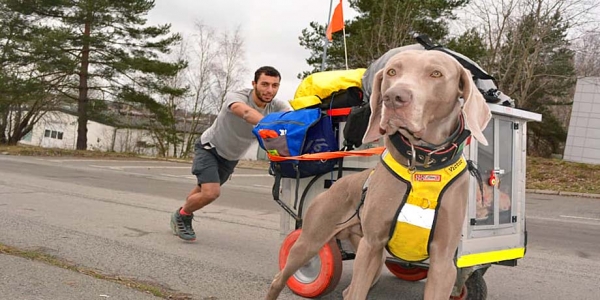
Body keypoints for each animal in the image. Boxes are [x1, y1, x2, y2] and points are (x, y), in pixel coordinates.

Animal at [264, 47, 490, 300]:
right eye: (392, 71)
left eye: (436, 73)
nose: (394, 97)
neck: (422, 166)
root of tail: (333, 186)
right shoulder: (371, 245)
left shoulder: (443, 260)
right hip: (311, 240)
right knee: (281, 277)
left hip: (367, 249)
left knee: (348, 290)